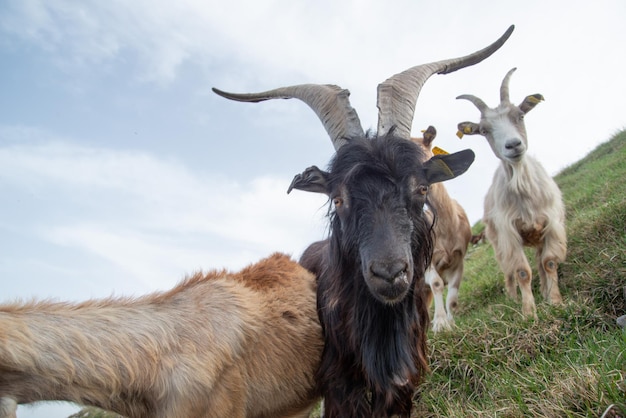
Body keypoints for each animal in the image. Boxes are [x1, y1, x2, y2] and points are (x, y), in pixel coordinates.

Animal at [410, 125, 468, 332]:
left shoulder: (459, 258)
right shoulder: (427, 262)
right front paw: (441, 324)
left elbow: (453, 294)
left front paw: (450, 322)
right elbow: (436, 284)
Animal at [454, 68, 564, 316]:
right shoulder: (508, 232)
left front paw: (555, 301)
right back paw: (512, 297)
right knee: (507, 269)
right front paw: (528, 312)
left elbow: (549, 262)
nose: (513, 145)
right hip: (496, 239)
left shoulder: (551, 223)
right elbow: (522, 271)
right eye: (484, 130)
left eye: (520, 116)